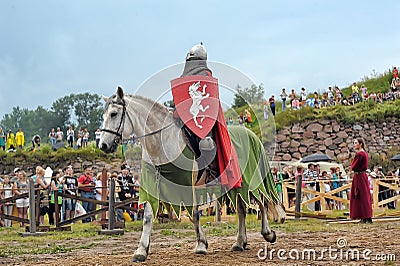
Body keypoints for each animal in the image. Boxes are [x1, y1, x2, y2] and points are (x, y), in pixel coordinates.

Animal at [100, 87, 288, 262]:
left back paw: (268, 233)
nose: (103, 145)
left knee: (262, 201)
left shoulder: (186, 184)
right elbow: (147, 217)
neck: (162, 140)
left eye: (114, 114)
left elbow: (195, 215)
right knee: (242, 209)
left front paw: (201, 245)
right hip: (235, 184)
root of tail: (251, 135)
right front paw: (141, 251)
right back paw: (239, 242)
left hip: (251, 180)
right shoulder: (154, 185)